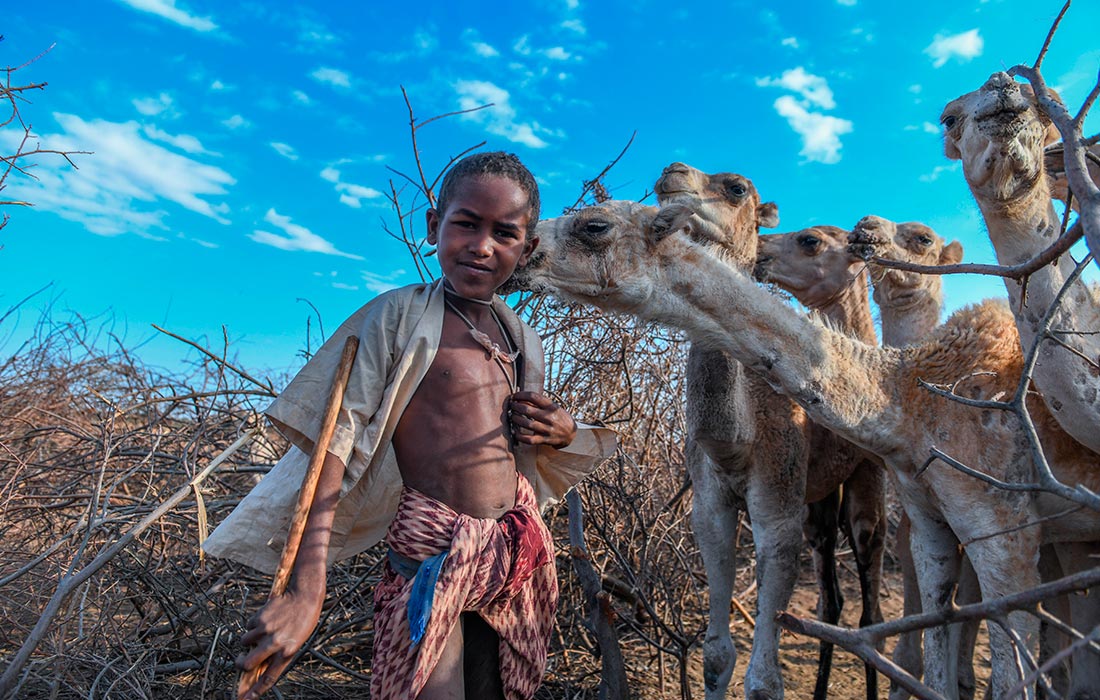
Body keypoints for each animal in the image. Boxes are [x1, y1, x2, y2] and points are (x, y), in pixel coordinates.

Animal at [752, 226, 888, 695]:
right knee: (832, 601)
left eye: (810, 239)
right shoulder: (815, 494)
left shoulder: (868, 473)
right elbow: (832, 605)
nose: (760, 248)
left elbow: (871, 617)